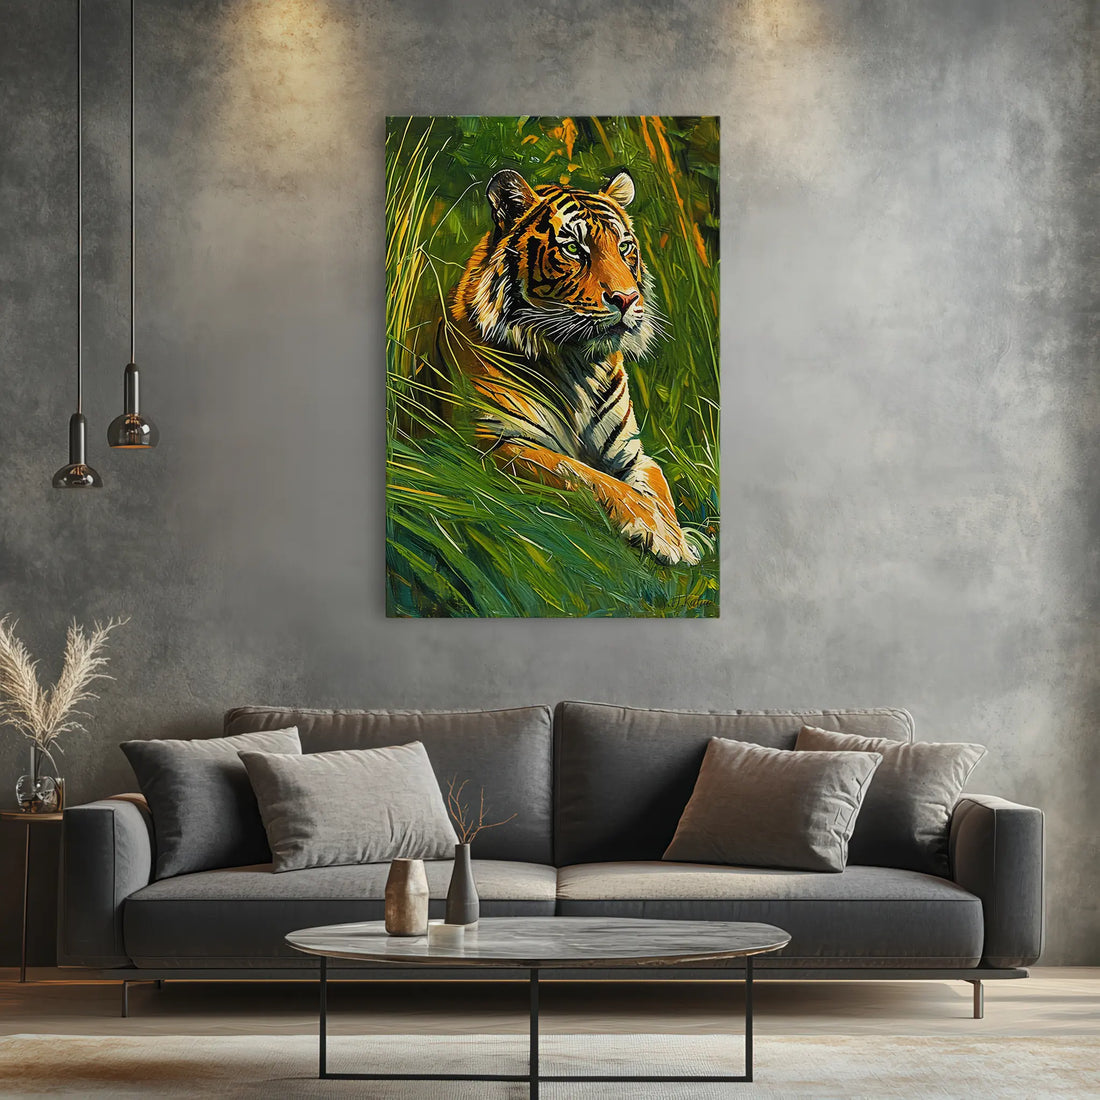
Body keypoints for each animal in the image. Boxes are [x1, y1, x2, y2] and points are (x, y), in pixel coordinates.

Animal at [435, 167, 700, 566]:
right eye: (574, 248)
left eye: (625, 247)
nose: (627, 298)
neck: (578, 363)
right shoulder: (497, 442)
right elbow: (585, 475)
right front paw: (658, 533)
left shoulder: (633, 454)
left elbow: (659, 489)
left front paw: (680, 537)